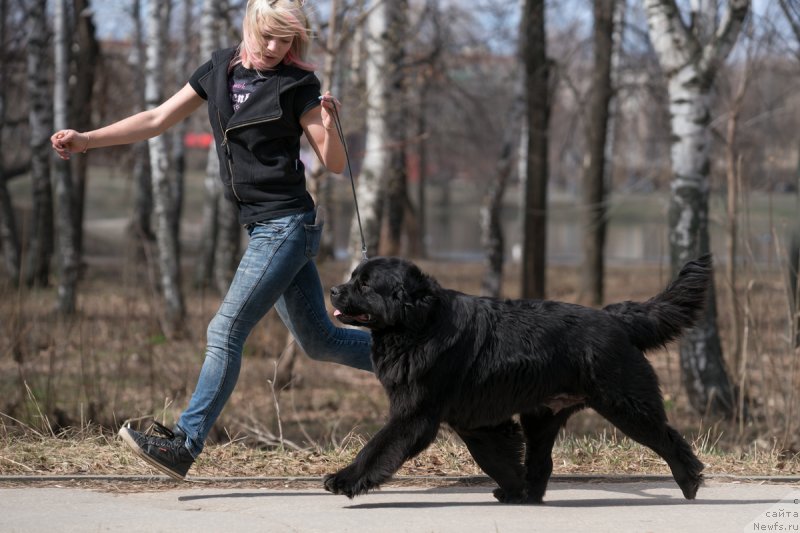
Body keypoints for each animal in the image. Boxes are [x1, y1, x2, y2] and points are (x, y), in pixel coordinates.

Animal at [322, 255, 708, 502]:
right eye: (353, 278)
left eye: (365, 285)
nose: (333, 290)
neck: (419, 326)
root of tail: (614, 318)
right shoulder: (476, 421)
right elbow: (496, 458)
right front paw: (513, 489)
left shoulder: (414, 414)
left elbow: (378, 447)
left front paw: (343, 479)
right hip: (543, 415)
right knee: (541, 461)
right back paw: (529, 496)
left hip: (625, 403)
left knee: (667, 437)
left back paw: (690, 481)